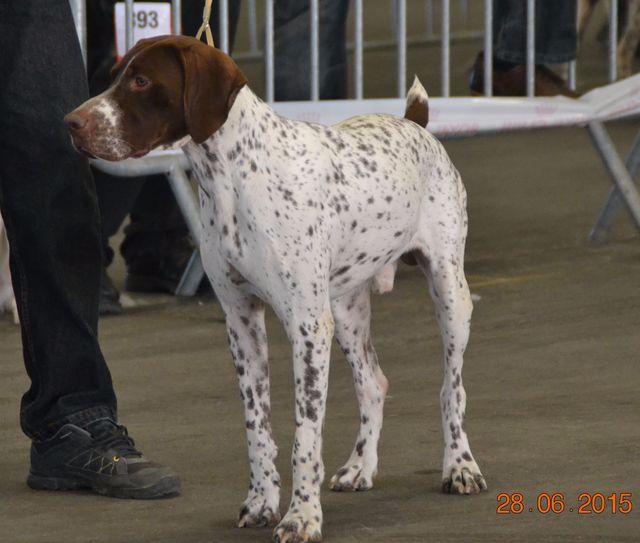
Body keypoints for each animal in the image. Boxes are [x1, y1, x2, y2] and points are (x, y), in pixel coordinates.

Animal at [65, 37, 488, 543]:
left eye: (142, 80)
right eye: (113, 76)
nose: (71, 123)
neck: (232, 179)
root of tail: (414, 124)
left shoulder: (306, 328)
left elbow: (304, 438)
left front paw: (302, 516)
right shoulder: (242, 322)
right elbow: (257, 429)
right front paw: (262, 502)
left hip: (448, 293)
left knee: (451, 389)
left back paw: (460, 466)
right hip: (345, 309)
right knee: (373, 383)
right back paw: (360, 467)